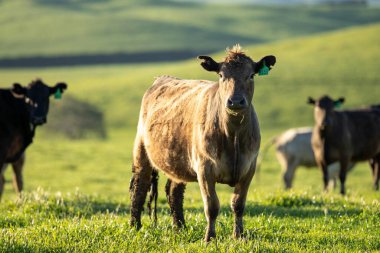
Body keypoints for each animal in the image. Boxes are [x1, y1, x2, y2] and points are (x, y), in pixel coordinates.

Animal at [131, 45, 276, 241]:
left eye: (251, 75)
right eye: (221, 75)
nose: (235, 101)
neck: (234, 136)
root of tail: (162, 78)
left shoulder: (249, 168)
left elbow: (238, 204)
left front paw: (238, 235)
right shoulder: (204, 168)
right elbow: (212, 206)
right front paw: (210, 237)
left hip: (178, 160)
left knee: (173, 192)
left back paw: (180, 227)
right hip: (141, 151)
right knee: (139, 187)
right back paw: (135, 227)